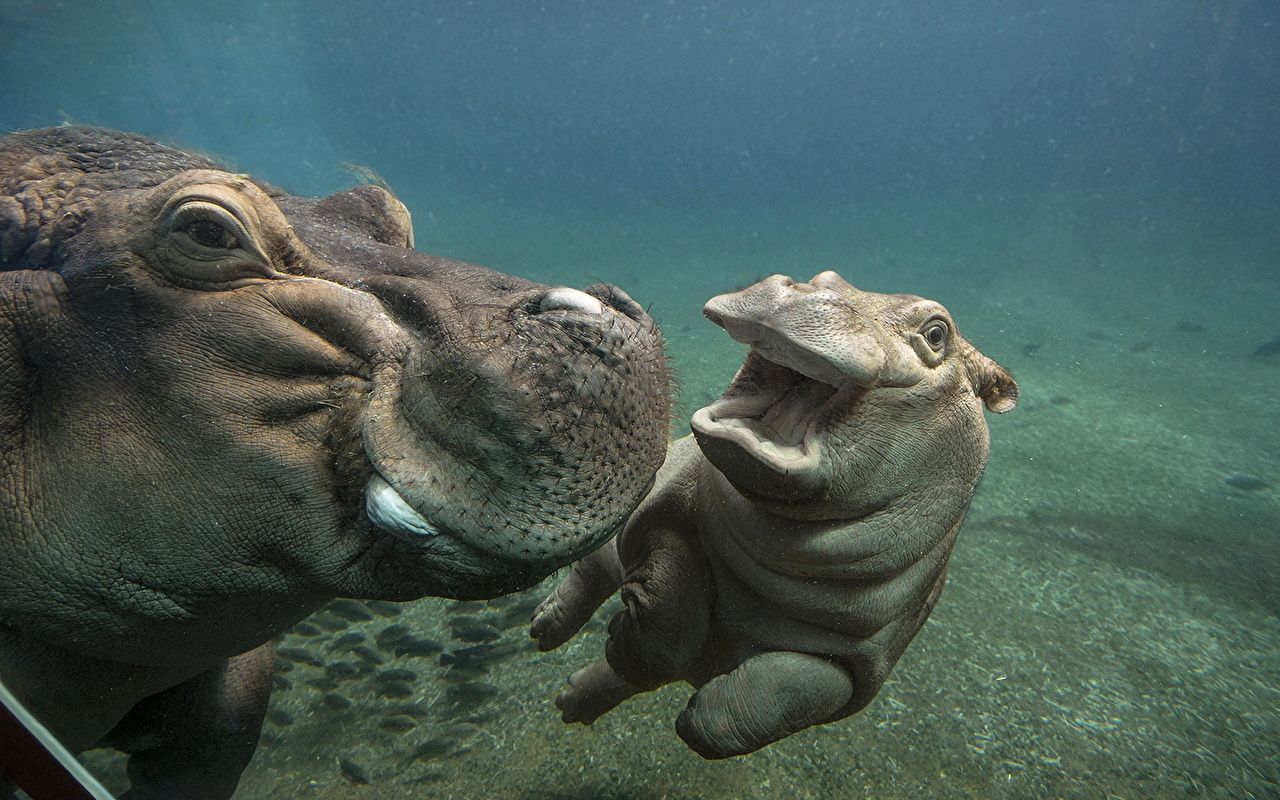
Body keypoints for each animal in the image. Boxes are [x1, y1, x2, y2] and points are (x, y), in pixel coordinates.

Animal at [532, 271, 1017, 758]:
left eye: (937, 334)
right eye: (826, 276)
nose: (806, 289)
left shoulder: (859, 665)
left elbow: (787, 693)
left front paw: (690, 715)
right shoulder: (669, 514)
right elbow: (669, 619)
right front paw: (622, 634)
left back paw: (570, 699)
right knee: (594, 569)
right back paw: (545, 631)